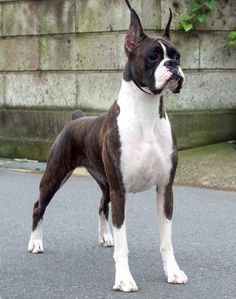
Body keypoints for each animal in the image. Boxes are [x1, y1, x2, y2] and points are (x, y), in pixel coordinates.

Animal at [27, 0, 188, 292]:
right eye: (153, 57)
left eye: (177, 55)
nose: (173, 64)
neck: (145, 113)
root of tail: (76, 118)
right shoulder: (121, 190)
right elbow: (124, 244)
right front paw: (124, 279)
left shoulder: (164, 190)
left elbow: (166, 240)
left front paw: (172, 271)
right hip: (56, 174)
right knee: (39, 206)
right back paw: (35, 243)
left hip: (104, 182)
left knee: (101, 204)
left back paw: (105, 237)